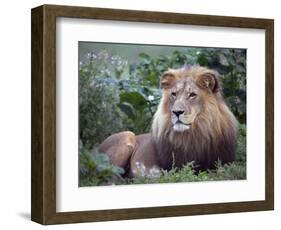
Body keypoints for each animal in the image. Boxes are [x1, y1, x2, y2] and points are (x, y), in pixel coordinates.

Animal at [97, 65, 237, 177]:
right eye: (174, 94)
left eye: (192, 95)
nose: (177, 112)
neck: (196, 134)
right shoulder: (175, 168)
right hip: (127, 135)